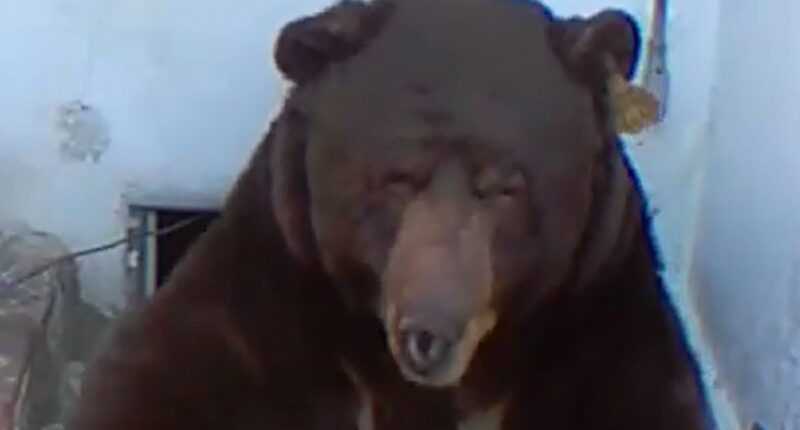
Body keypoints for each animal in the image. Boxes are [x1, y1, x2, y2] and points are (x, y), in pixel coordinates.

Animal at [68, 0, 714, 429]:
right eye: (397, 177)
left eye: (507, 187)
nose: (429, 333)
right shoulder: (258, 315)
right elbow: (157, 380)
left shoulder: (600, 332)